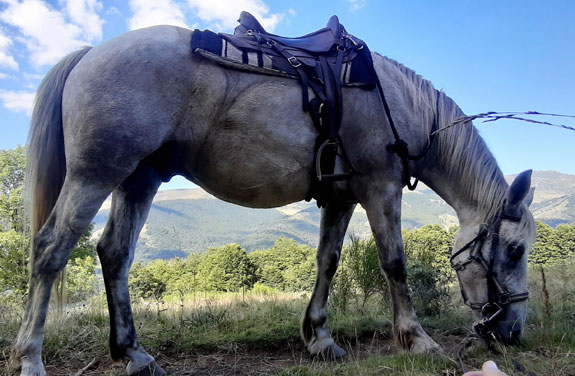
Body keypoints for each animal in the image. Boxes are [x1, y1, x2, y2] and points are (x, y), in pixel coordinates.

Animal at [12, 25, 536, 374]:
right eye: (514, 250)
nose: (512, 331)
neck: (397, 102)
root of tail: (91, 53)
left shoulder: (341, 198)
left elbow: (328, 261)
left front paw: (319, 337)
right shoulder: (380, 188)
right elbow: (394, 263)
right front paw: (416, 339)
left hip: (139, 178)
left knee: (115, 253)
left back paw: (133, 352)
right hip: (95, 174)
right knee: (51, 249)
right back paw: (30, 357)